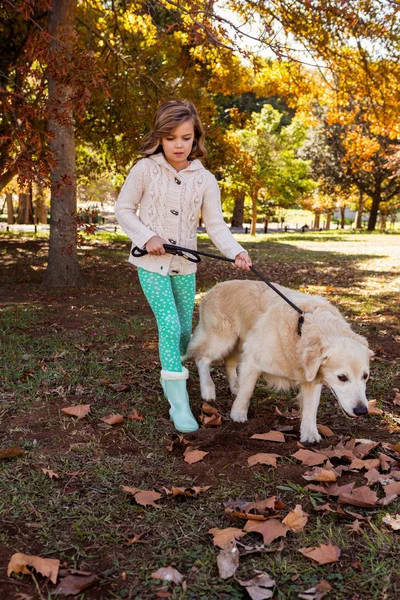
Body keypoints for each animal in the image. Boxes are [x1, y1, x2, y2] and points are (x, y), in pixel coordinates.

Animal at [186, 278, 374, 442]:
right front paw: (238, 414)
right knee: (202, 358)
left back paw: (234, 386)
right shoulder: (253, 358)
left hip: (238, 343)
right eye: (342, 377)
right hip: (223, 339)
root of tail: (214, 288)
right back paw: (208, 390)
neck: (301, 331)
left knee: (229, 362)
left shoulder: (311, 377)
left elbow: (311, 408)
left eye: (365, 377)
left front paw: (310, 433)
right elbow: (247, 391)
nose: (362, 410)